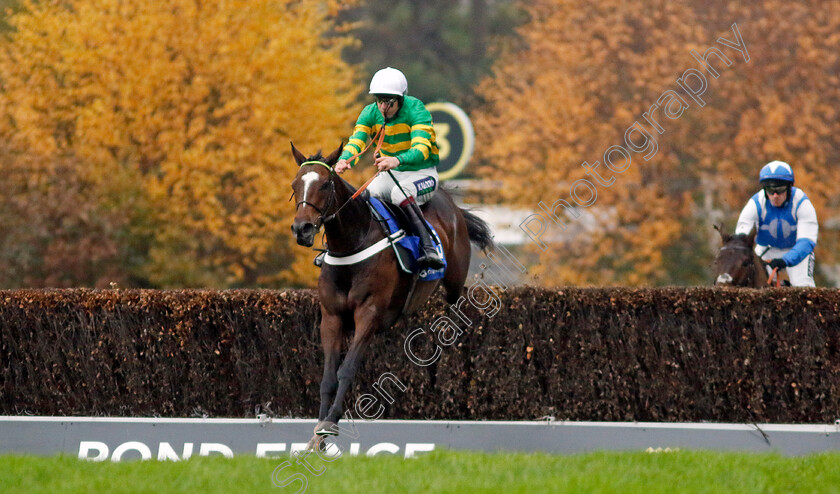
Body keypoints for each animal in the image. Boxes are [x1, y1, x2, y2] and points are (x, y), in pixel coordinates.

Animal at [288, 142, 492, 448]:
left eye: (324, 184)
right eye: (295, 184)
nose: (302, 229)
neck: (351, 244)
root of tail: (452, 204)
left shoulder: (368, 313)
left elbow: (347, 369)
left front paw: (331, 424)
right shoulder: (331, 316)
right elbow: (327, 377)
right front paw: (317, 434)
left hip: (455, 281)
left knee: (459, 311)